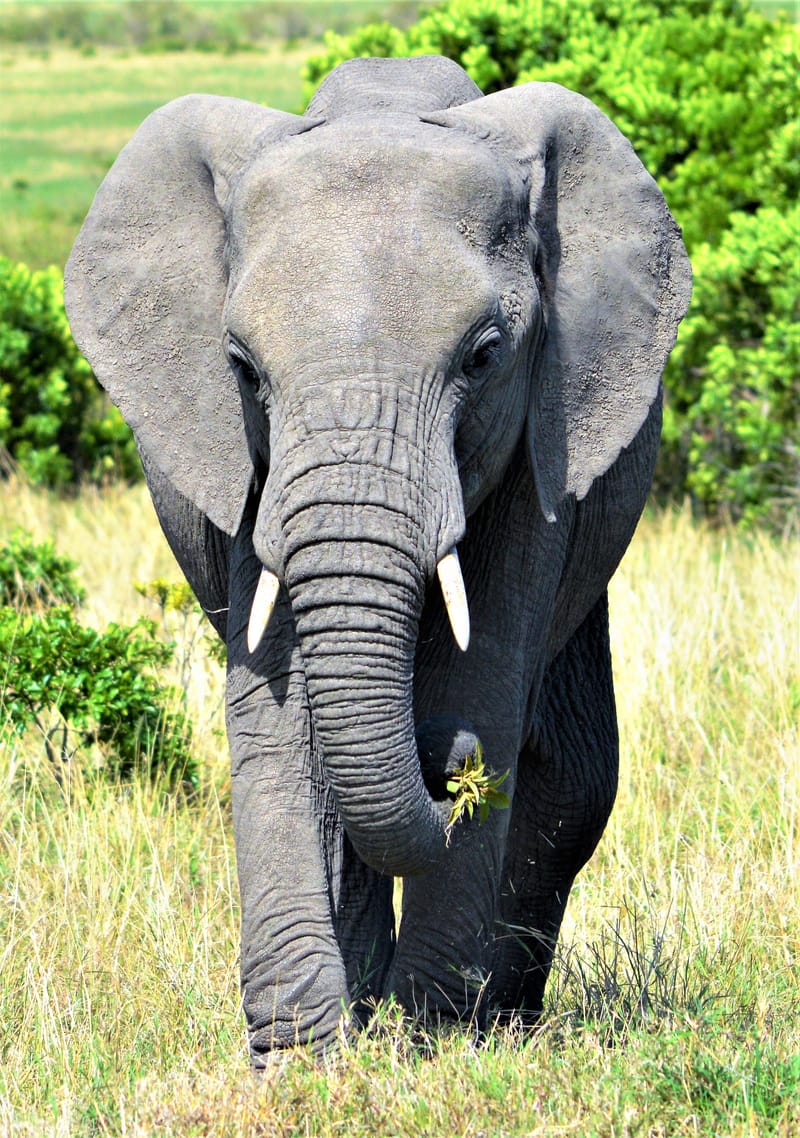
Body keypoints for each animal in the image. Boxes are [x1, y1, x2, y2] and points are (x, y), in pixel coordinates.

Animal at [65, 57, 691, 1056]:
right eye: (241, 366)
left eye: (484, 356)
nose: (451, 767)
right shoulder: (250, 472)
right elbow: (280, 721)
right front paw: (306, 1060)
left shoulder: (542, 434)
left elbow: (487, 680)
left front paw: (433, 1043)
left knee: (573, 780)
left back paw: (498, 1020)